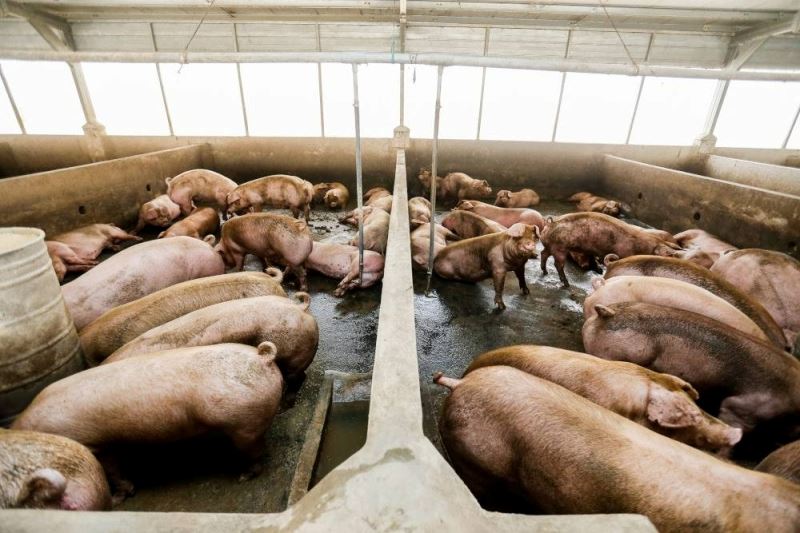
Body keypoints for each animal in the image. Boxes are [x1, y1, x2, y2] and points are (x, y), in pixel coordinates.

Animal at [12, 343, 284, 497]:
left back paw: (243, 476)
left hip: (242, 423)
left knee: (255, 450)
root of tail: (262, 357)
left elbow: (112, 470)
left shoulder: (96, 444)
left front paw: (119, 498)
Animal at [540, 212, 679, 287]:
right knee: (557, 264)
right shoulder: (625, 254)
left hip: (551, 246)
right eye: (669, 255)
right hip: (559, 248)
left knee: (543, 254)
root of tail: (552, 223)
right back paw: (566, 284)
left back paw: (545, 271)